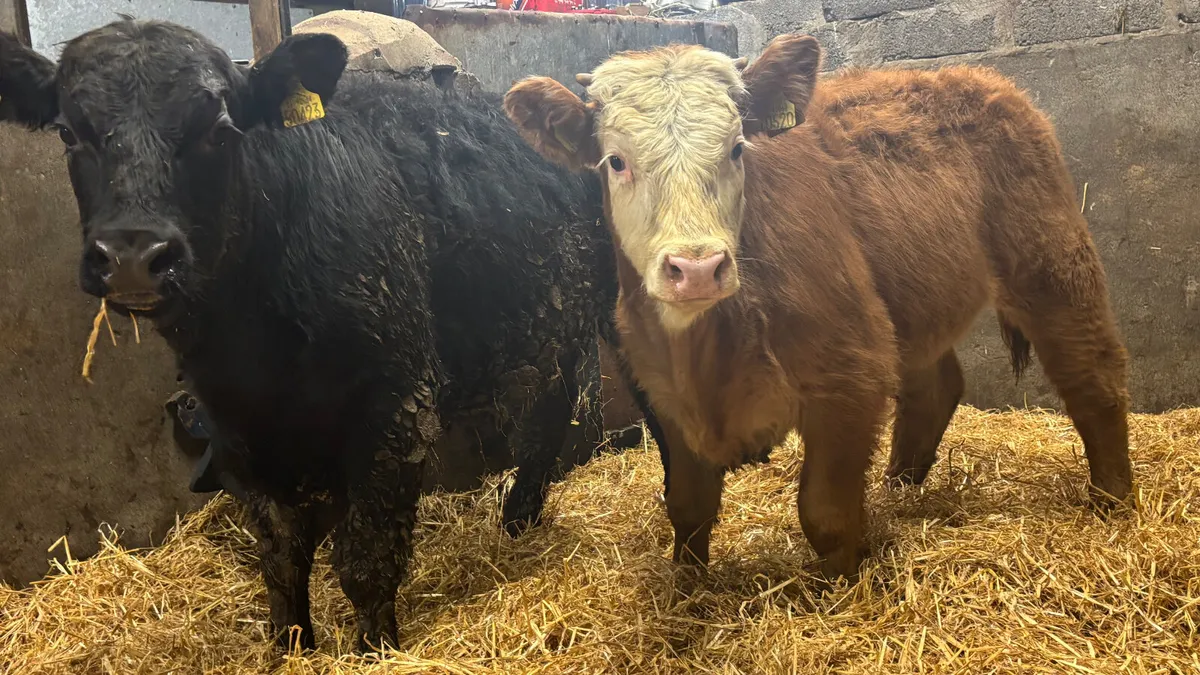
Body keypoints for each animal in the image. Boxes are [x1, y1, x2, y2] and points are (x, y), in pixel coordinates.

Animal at [0, 19, 665, 651]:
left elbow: (366, 561)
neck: (254, 354)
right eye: (67, 132)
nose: (134, 256)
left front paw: (375, 648)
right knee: (549, 414)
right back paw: (518, 521)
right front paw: (288, 645)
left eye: (221, 130)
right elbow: (280, 558)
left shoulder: (396, 407)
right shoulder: (238, 430)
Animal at [503, 34, 1133, 580]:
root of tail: (979, 76)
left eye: (737, 148)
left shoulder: (849, 373)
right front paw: (688, 590)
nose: (698, 267)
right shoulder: (662, 395)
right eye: (615, 161)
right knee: (935, 387)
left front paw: (844, 590)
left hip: (1051, 260)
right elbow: (687, 506)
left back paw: (1114, 502)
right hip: (908, 304)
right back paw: (898, 489)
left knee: (1092, 377)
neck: (707, 355)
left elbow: (824, 513)